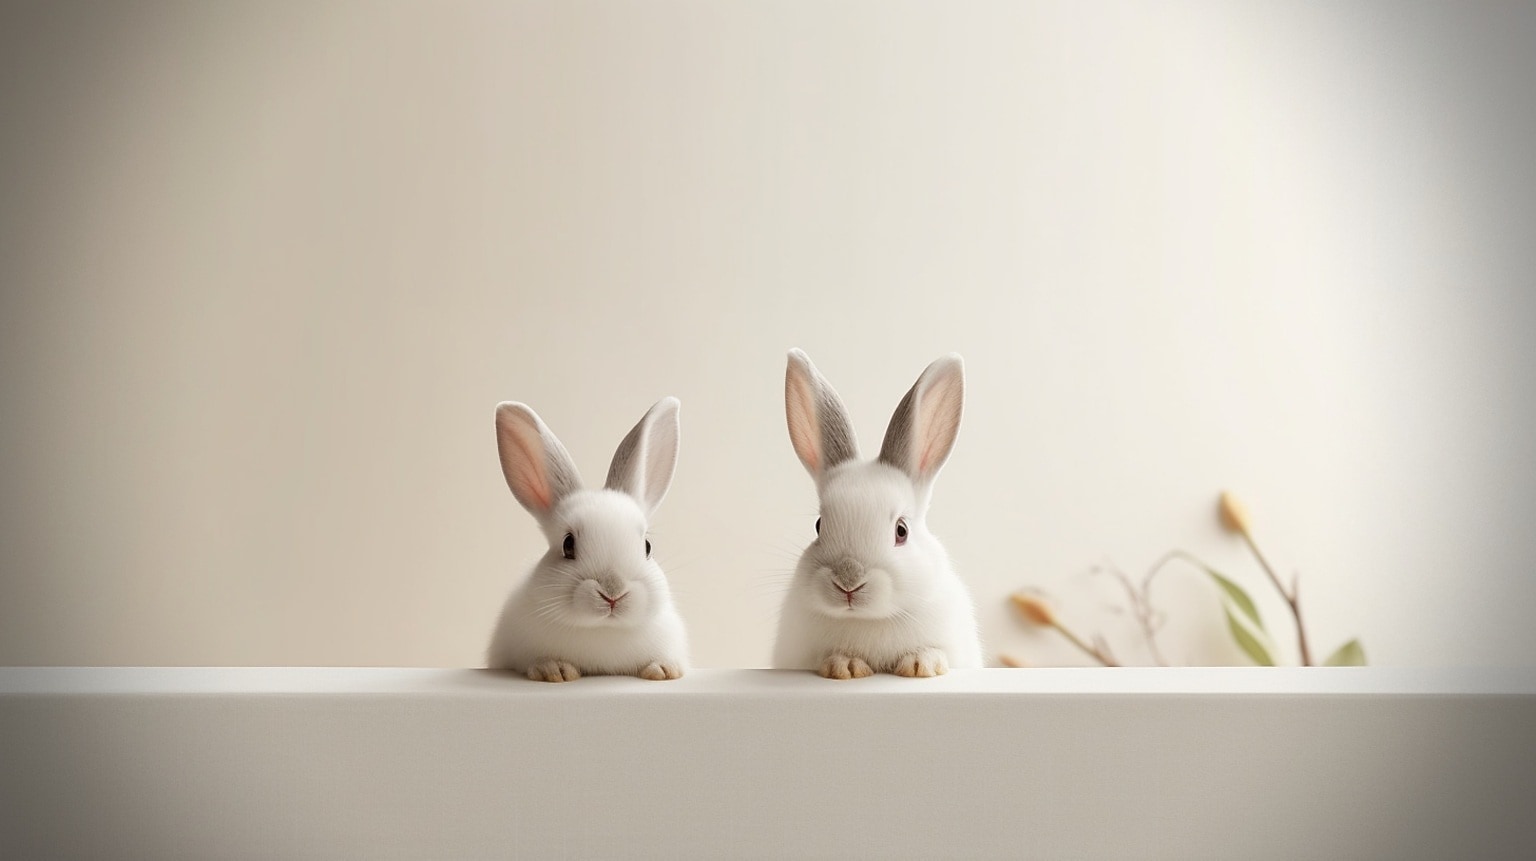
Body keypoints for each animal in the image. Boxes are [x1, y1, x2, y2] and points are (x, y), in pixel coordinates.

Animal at [485, 392, 691, 681]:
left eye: (647, 546)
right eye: (568, 544)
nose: (613, 593)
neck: (603, 631)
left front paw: (662, 670)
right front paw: (555, 671)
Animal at [780, 349, 983, 678]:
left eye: (902, 530)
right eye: (819, 526)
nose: (848, 581)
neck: (868, 619)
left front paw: (921, 664)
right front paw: (845, 666)